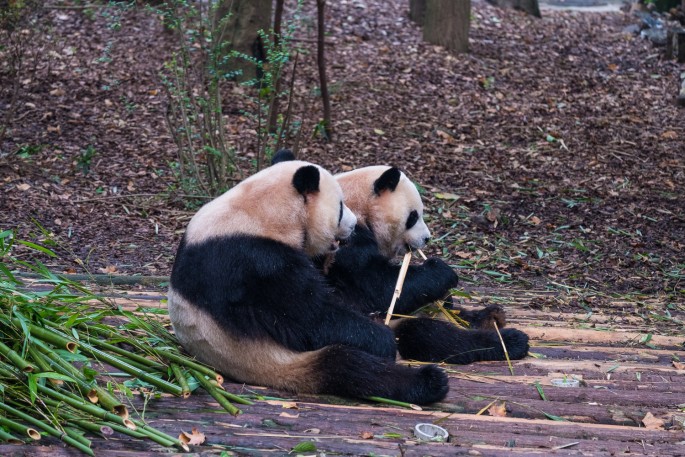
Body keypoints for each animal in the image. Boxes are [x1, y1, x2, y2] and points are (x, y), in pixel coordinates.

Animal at [328, 164, 532, 364]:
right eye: (413, 216)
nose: (426, 238)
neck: (358, 206)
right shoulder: (347, 245)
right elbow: (380, 288)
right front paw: (442, 271)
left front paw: (447, 296)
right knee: (430, 334)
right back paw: (510, 341)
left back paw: (490, 316)